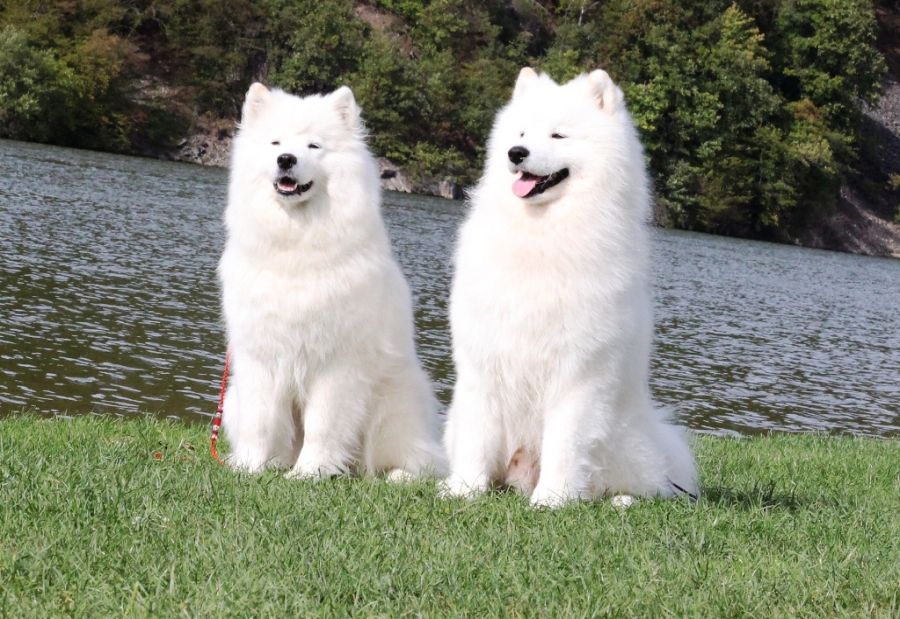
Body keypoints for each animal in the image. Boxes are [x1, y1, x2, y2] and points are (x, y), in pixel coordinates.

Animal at [215, 82, 446, 480]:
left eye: (314, 146)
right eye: (276, 143)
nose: (286, 160)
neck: (296, 247)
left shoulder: (337, 364)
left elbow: (323, 425)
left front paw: (310, 473)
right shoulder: (259, 356)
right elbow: (260, 421)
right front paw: (248, 467)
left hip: (393, 405)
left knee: (419, 459)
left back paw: (396, 476)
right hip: (232, 399)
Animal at [442, 69, 696, 508]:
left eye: (558, 135)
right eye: (521, 132)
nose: (516, 152)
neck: (543, 233)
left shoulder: (578, 372)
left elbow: (565, 443)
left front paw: (551, 499)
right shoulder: (483, 362)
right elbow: (477, 436)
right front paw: (463, 490)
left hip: (626, 445)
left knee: (646, 487)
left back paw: (620, 500)